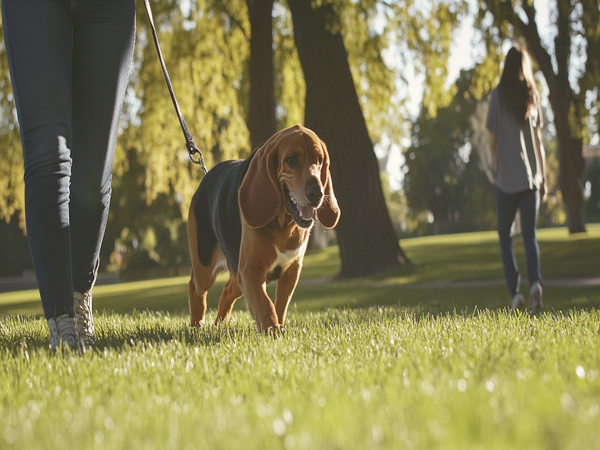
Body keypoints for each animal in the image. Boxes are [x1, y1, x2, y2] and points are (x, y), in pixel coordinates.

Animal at [185, 125, 340, 332]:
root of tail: (207, 176)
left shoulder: (291, 271)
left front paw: (279, 327)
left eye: (320, 160)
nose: (317, 193)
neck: (284, 225)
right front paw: (272, 330)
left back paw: (220, 324)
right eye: (291, 160)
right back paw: (196, 325)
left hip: (237, 274)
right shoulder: (251, 270)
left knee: (227, 291)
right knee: (195, 287)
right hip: (205, 266)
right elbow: (264, 304)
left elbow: (280, 305)